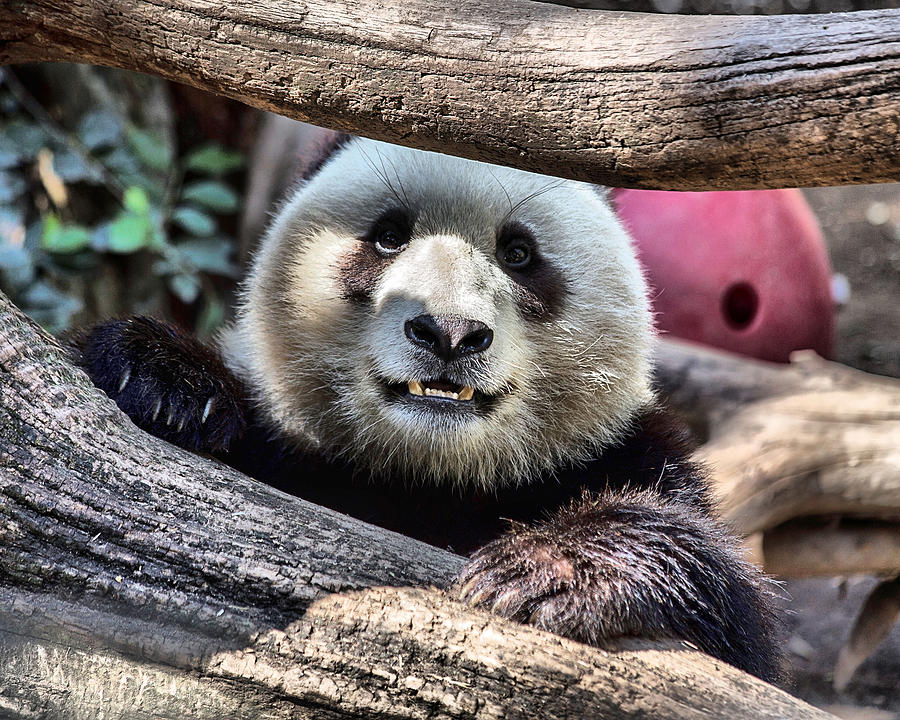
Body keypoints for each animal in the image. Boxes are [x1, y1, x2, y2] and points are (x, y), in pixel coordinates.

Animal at [77, 134, 780, 680]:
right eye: (389, 237)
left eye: (519, 253)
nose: (447, 332)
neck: (429, 475)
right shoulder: (289, 450)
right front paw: (168, 383)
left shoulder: (627, 454)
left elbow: (738, 620)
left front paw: (545, 573)